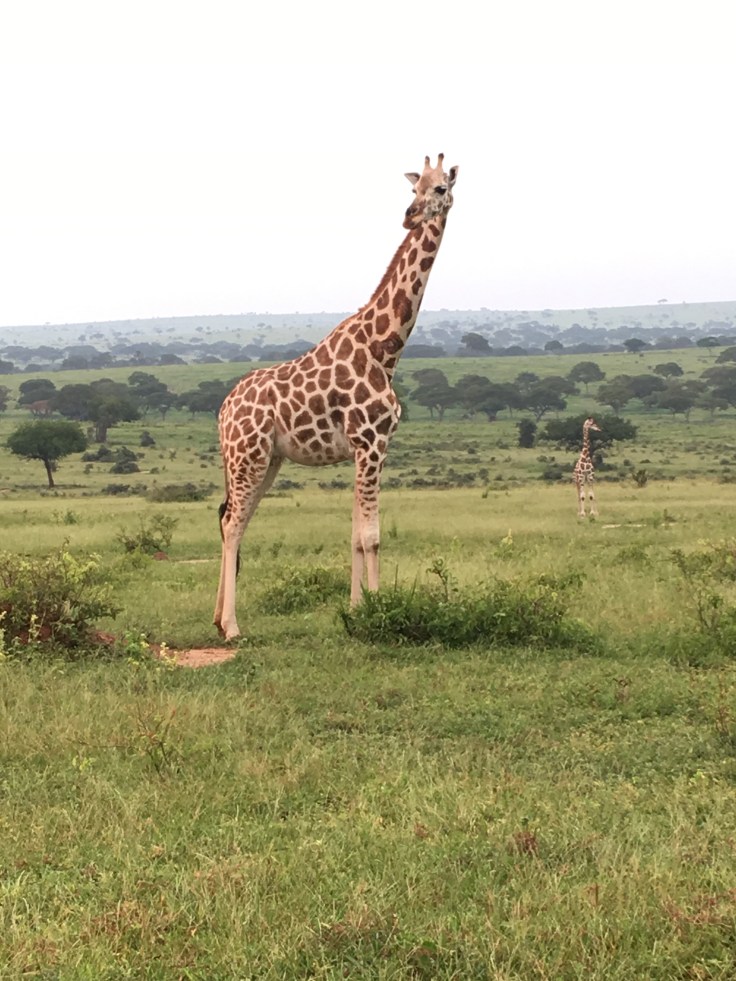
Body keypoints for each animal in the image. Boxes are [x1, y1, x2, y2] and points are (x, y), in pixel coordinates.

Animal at [214, 154, 459, 639]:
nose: (410, 215)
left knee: (237, 520)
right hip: (247, 457)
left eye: (440, 188)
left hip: (264, 461)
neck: (385, 347)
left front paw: (355, 607)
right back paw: (231, 627)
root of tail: (224, 411)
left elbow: (355, 534)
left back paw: (217, 619)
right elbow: (372, 536)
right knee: (231, 524)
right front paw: (379, 611)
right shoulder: (371, 443)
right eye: (413, 189)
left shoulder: (367, 450)